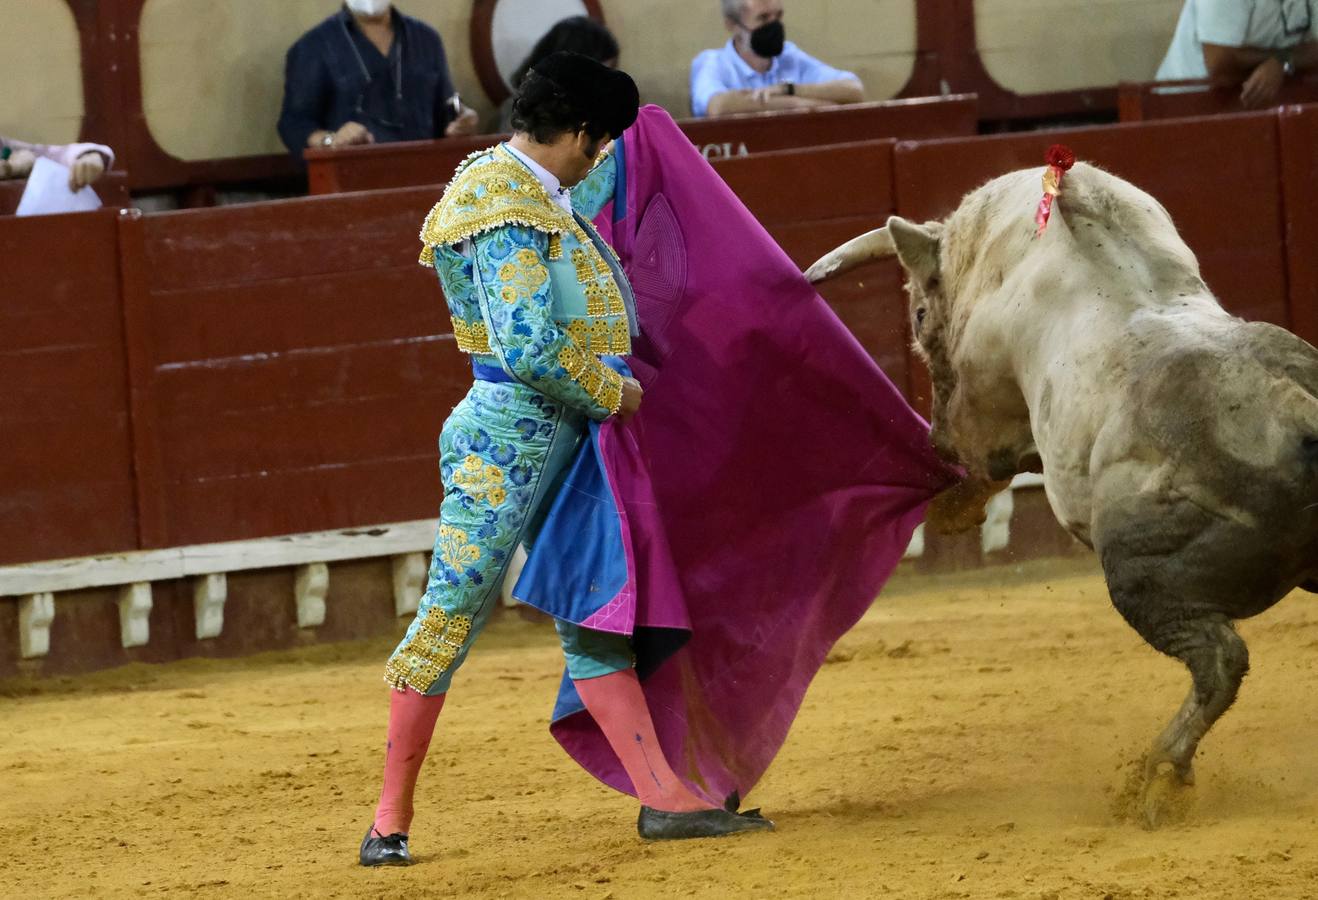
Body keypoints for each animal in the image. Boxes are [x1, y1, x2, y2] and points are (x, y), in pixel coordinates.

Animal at [801, 163, 1318, 832]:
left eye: (917, 315)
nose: (931, 441)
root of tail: (1294, 408)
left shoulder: (981, 403)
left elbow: (981, 452)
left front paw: (948, 505)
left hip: (1140, 575)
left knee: (1220, 660)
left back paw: (1159, 775)